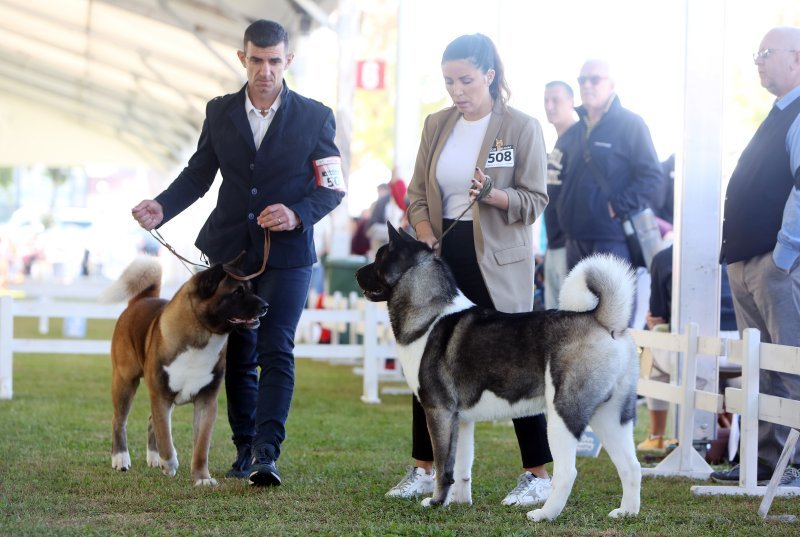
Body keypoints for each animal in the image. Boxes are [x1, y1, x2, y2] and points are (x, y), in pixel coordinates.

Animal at [356, 224, 644, 520]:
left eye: (378, 259)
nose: (355, 273)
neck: (430, 313)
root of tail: (603, 321)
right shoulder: (461, 419)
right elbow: (462, 467)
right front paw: (459, 502)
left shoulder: (439, 411)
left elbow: (443, 466)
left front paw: (436, 502)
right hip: (611, 417)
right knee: (631, 466)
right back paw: (626, 512)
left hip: (563, 414)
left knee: (567, 472)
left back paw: (544, 514)